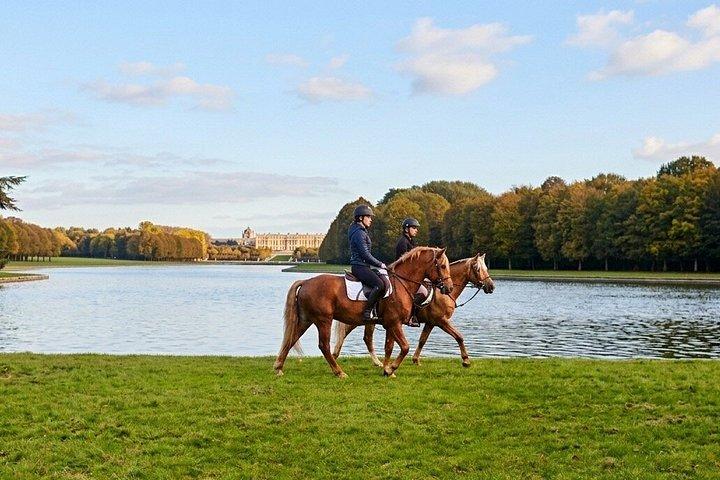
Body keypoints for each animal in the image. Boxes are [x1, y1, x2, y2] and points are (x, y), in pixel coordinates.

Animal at [273, 246, 453, 378]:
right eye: (443, 266)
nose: (449, 288)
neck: (401, 284)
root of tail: (306, 282)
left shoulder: (391, 323)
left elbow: (389, 347)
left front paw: (387, 370)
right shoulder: (394, 323)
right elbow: (405, 347)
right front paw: (390, 369)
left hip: (306, 319)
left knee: (291, 338)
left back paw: (279, 367)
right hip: (323, 320)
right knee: (323, 345)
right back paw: (339, 372)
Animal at [332, 253, 494, 368]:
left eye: (486, 268)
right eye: (478, 269)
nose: (491, 286)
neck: (442, 292)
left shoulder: (431, 322)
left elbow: (422, 340)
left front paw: (415, 360)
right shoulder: (441, 321)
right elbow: (459, 336)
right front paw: (466, 360)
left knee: (366, 338)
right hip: (360, 319)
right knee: (351, 334)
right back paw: (337, 355)